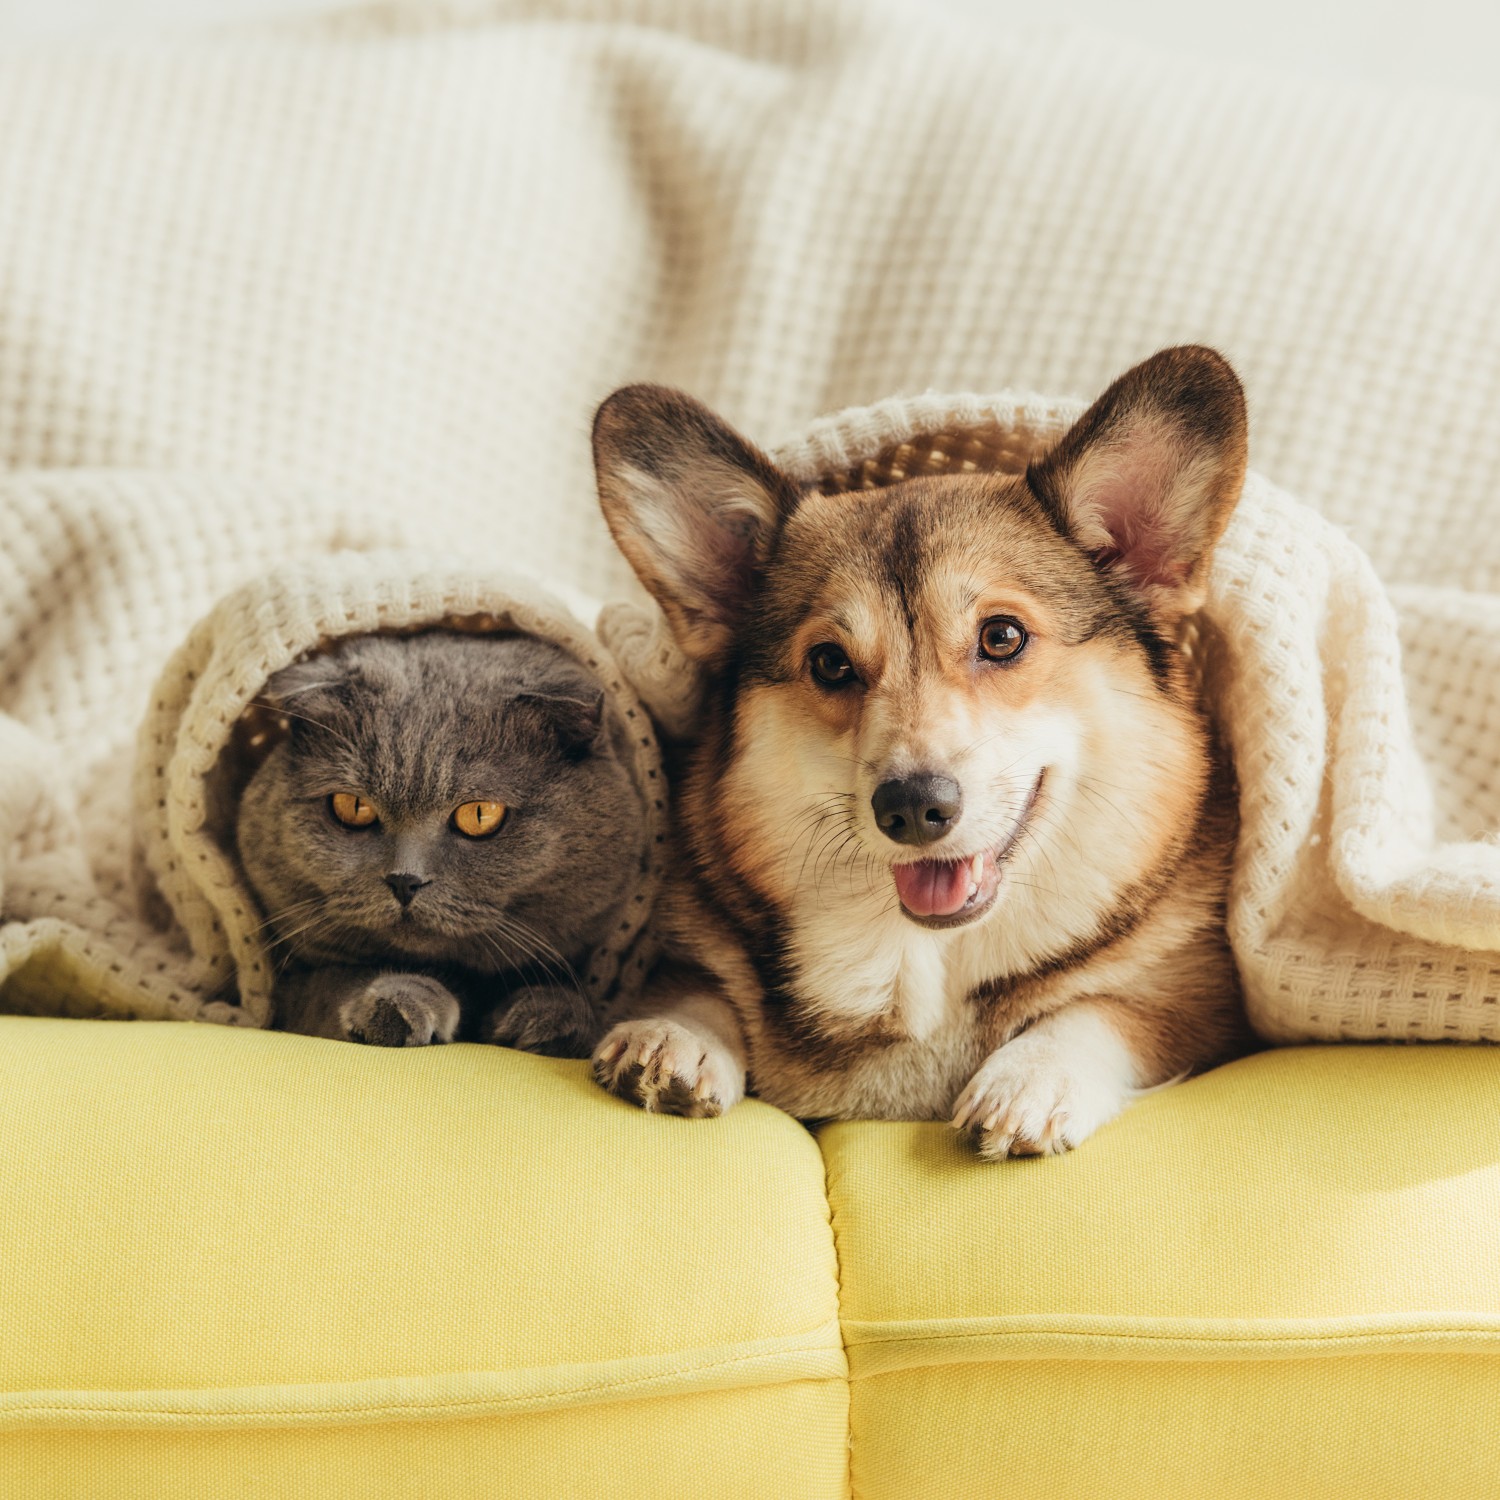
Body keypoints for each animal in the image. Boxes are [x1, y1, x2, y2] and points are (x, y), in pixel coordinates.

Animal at [234, 633, 645, 1056]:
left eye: (480, 814)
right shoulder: (287, 989)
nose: (404, 880)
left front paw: (551, 1016)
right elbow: (328, 983)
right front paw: (399, 1003)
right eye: (353, 807)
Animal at [585, 345, 1254, 1152]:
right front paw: (671, 1036)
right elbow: (701, 986)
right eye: (829, 663)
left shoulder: (1200, 1001)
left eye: (1002, 636)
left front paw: (1031, 1079)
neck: (921, 961)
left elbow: (1102, 1010)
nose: (911, 808)